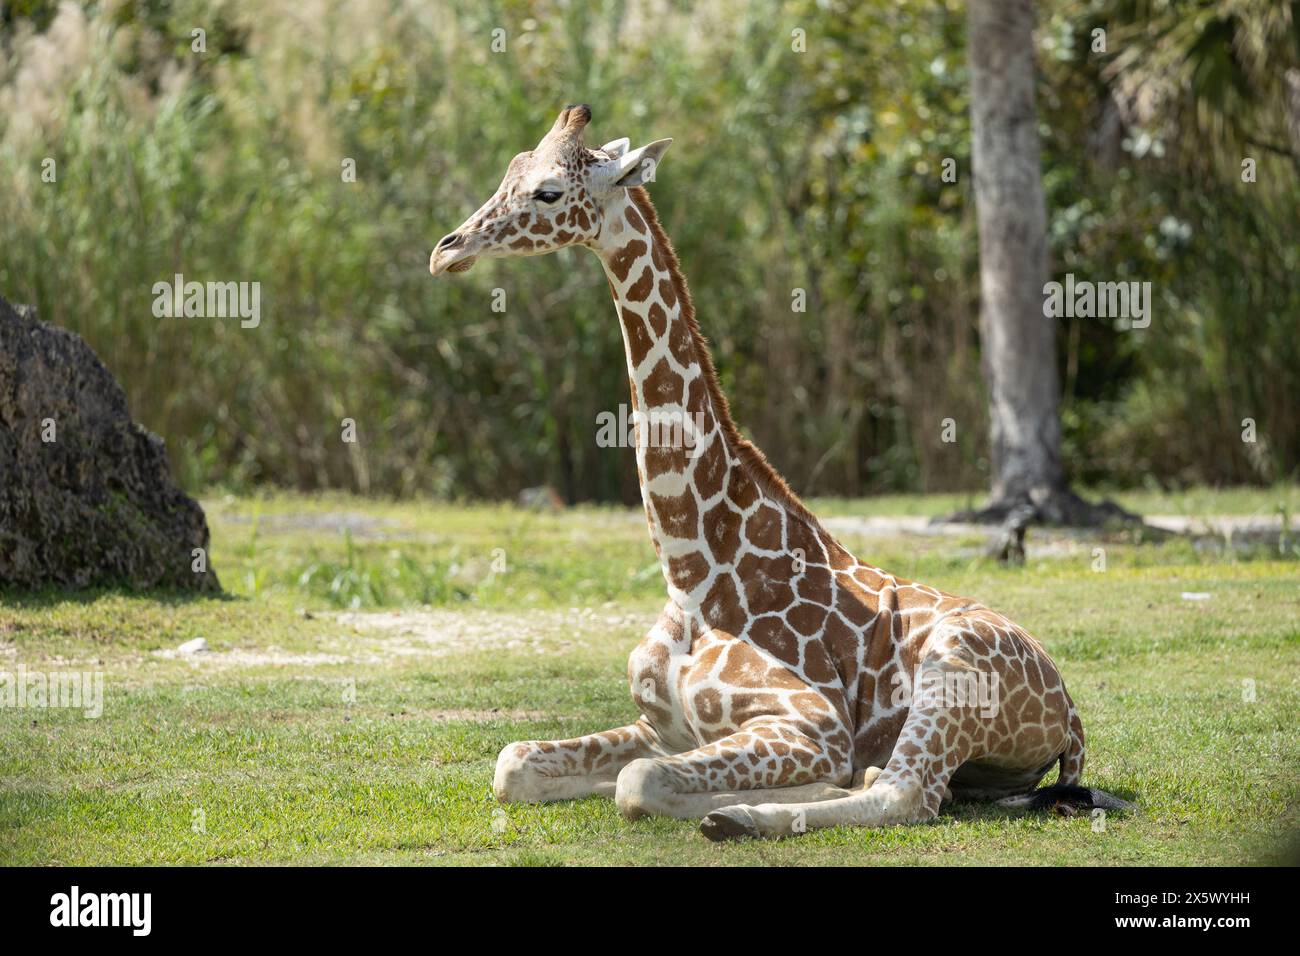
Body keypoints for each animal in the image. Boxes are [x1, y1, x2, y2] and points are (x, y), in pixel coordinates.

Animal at [426, 100, 1128, 842]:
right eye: (510, 169)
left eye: (548, 192)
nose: (447, 249)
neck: (692, 571)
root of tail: (1069, 711)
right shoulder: (663, 725)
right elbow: (514, 763)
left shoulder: (811, 722)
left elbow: (639, 782)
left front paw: (750, 796)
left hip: (953, 666)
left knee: (906, 792)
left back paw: (743, 813)